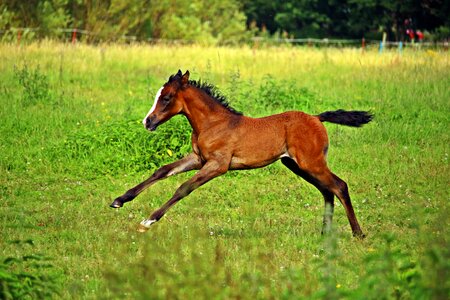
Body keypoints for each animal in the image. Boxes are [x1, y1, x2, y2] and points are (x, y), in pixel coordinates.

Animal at [110, 69, 372, 237]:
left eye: (166, 97)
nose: (148, 122)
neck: (213, 123)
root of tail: (317, 118)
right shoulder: (198, 159)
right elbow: (162, 171)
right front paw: (119, 201)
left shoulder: (218, 165)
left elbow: (183, 188)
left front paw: (148, 221)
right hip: (297, 165)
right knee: (327, 191)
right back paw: (325, 233)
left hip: (311, 163)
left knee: (339, 186)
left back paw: (358, 233)